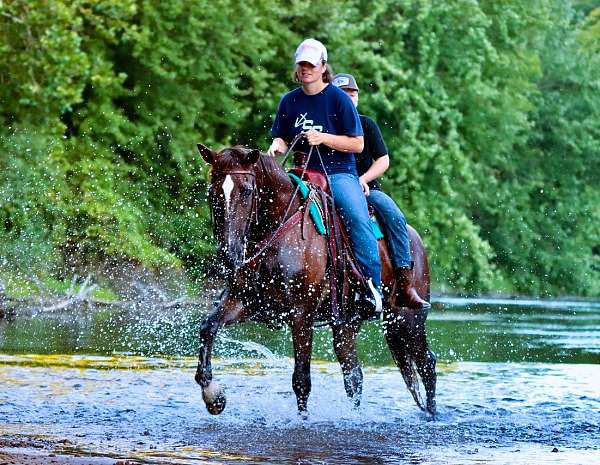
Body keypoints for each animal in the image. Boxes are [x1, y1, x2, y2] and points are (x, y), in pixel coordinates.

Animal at [196, 143, 436, 416]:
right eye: (212, 192)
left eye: (247, 191)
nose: (228, 254)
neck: (277, 231)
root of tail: (416, 239)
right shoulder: (244, 301)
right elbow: (208, 327)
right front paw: (213, 396)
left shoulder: (302, 314)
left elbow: (301, 380)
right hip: (347, 324)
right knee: (354, 375)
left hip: (407, 320)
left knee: (426, 363)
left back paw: (432, 414)